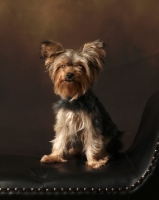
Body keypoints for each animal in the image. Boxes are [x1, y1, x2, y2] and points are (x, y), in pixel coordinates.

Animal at [40, 39, 123, 169]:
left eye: (80, 66)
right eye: (62, 66)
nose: (69, 74)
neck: (74, 99)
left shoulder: (90, 124)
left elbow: (92, 142)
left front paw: (94, 161)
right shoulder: (63, 122)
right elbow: (59, 140)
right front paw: (54, 157)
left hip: (111, 137)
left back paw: (104, 156)